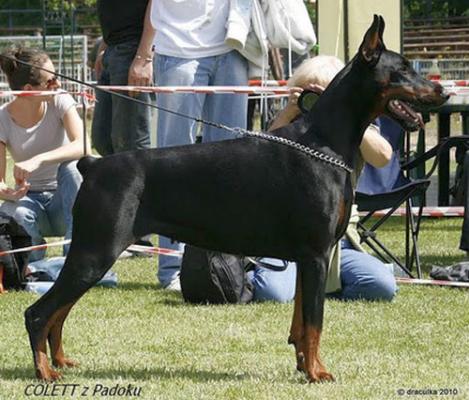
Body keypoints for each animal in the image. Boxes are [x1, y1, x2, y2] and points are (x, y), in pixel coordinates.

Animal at [24, 16, 446, 384]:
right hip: (96, 251)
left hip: (91, 254)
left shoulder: (307, 258)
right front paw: (317, 372)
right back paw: (45, 372)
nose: (443, 90)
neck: (325, 141)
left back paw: (61, 361)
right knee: (39, 313)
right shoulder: (316, 254)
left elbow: (300, 321)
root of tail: (94, 163)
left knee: (59, 312)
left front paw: (302, 365)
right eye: (402, 69)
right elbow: (315, 322)